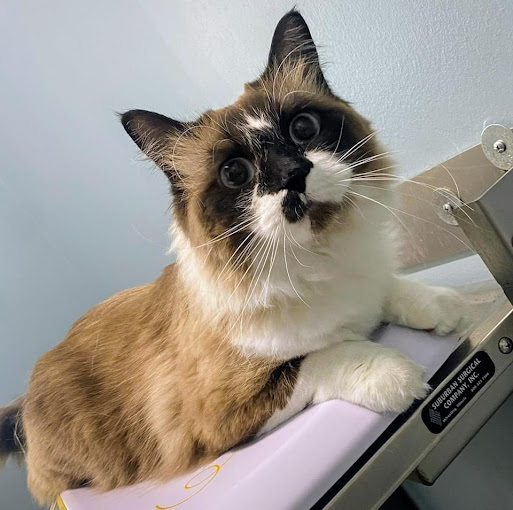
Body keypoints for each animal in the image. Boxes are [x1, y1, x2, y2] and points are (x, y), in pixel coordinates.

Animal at [0, 9, 466, 504]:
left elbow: (392, 290)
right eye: (235, 173)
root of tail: (25, 397)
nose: (293, 173)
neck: (315, 258)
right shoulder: (227, 413)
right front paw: (398, 374)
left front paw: (442, 307)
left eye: (303, 128)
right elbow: (326, 355)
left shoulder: (367, 282)